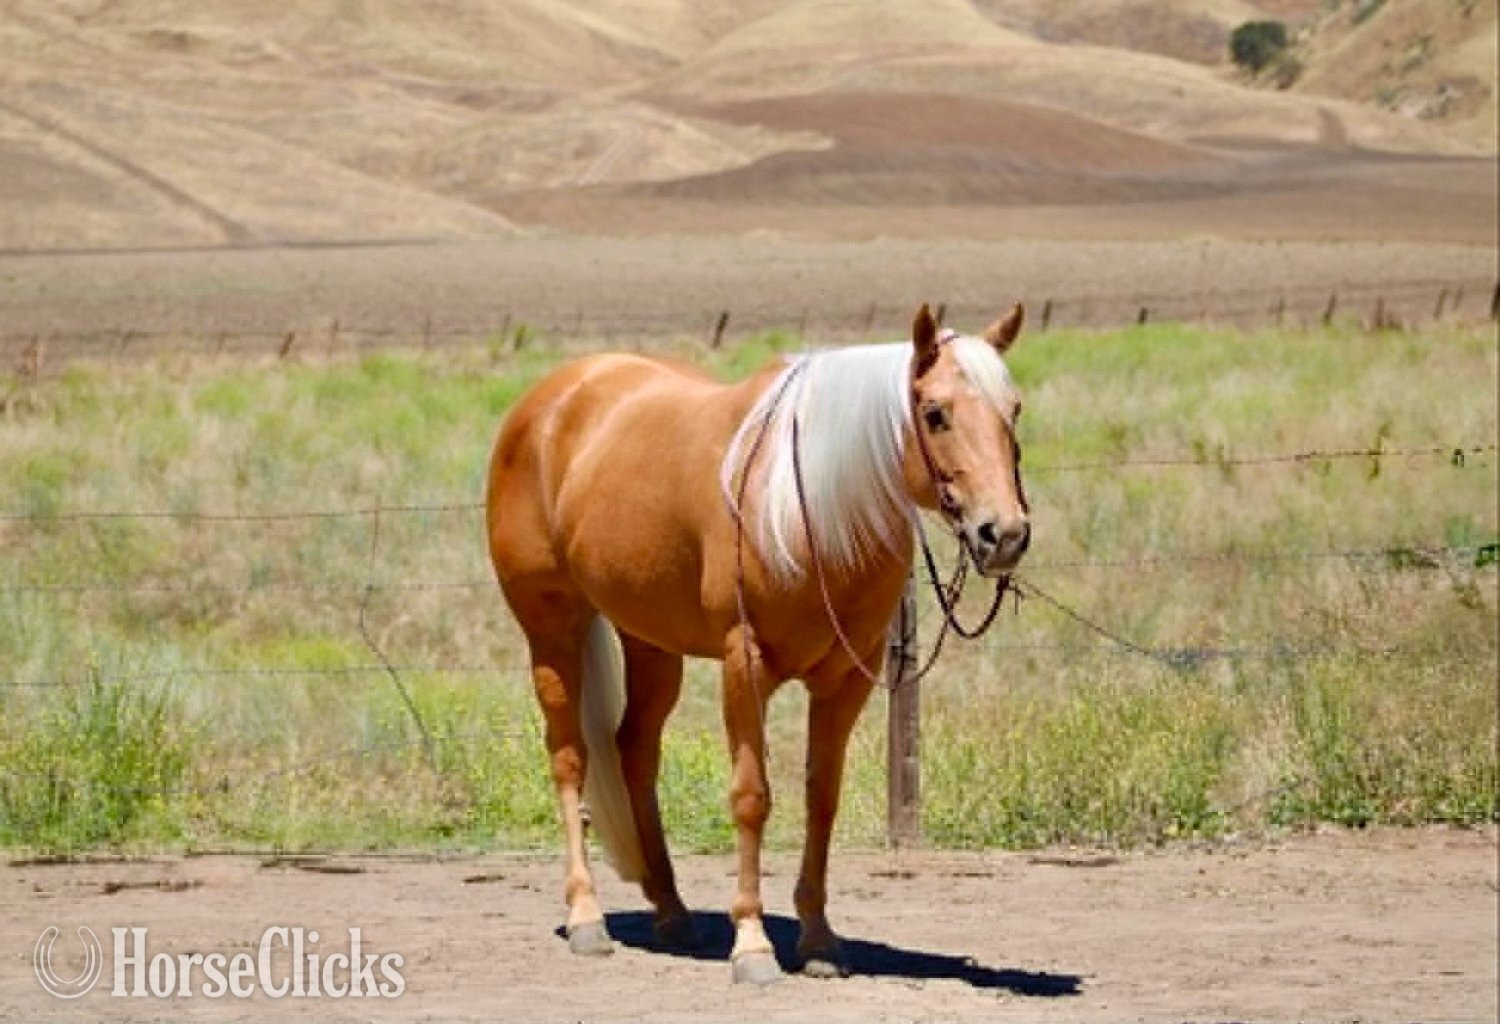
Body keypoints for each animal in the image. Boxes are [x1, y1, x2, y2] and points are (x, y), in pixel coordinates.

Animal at [485, 302, 1030, 984]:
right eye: (935, 412)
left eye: (1014, 409)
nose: (1003, 533)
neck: (808, 506)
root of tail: (551, 398)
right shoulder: (744, 665)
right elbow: (752, 798)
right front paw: (752, 945)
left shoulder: (847, 678)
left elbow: (822, 798)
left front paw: (819, 939)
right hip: (553, 629)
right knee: (569, 755)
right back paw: (587, 917)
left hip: (650, 643)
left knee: (635, 749)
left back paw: (671, 910)